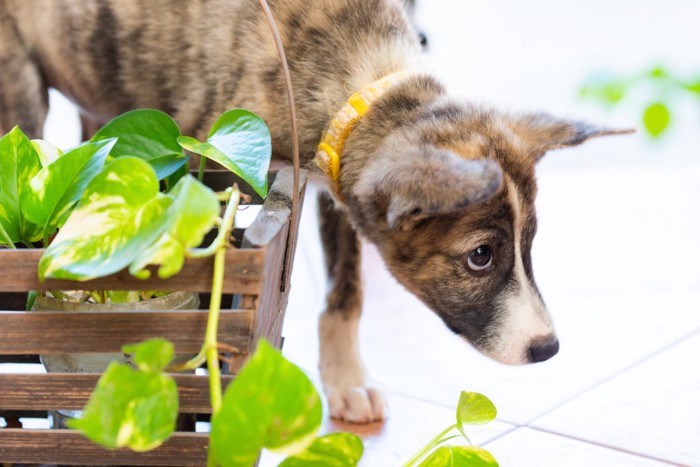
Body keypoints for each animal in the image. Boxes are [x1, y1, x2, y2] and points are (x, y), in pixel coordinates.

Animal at [0, 0, 632, 424]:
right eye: (480, 256)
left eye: (530, 244)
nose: (547, 349)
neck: (353, 68)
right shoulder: (218, 161)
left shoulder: (332, 181)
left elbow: (346, 294)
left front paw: (346, 383)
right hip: (23, 98)